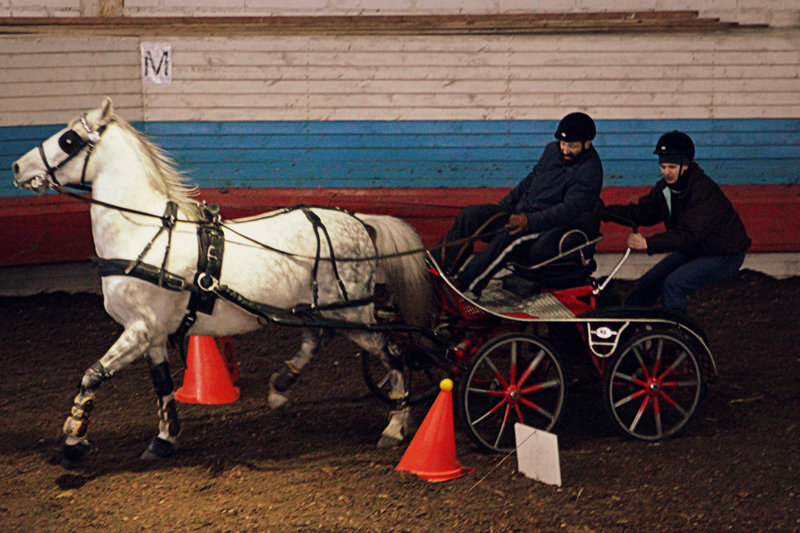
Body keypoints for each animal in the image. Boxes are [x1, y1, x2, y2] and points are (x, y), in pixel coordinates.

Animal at [12, 97, 434, 464]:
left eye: (69, 139)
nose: (16, 167)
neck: (142, 233)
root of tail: (361, 221)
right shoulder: (153, 335)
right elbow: (162, 385)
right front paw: (164, 440)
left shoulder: (138, 329)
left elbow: (91, 375)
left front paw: (74, 441)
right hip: (315, 308)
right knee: (317, 339)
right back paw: (280, 387)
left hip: (353, 314)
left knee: (395, 353)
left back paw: (395, 426)